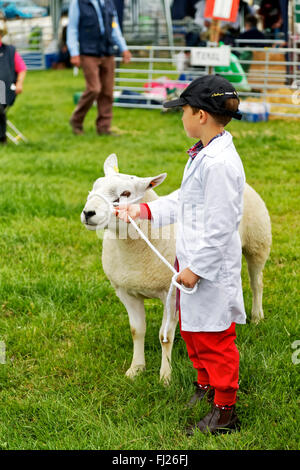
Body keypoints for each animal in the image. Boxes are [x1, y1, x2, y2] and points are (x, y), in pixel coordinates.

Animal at [81, 154, 270, 382]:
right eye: (95, 187)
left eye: (125, 193)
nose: (88, 213)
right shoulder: (125, 292)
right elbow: (137, 331)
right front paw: (136, 369)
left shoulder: (170, 293)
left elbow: (166, 337)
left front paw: (165, 376)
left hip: (257, 244)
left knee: (256, 283)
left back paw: (257, 316)